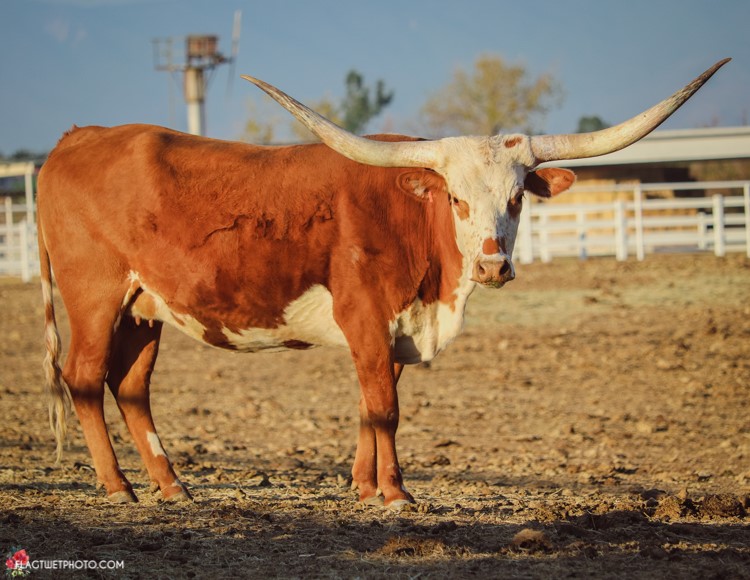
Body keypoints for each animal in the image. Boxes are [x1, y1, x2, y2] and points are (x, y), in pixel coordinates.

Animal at [37, 59, 728, 507]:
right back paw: (119, 487)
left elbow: (374, 405)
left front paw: (365, 484)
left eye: (516, 199)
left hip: (143, 307)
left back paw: (171, 484)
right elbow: (384, 409)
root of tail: (76, 137)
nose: (493, 266)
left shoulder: (398, 326)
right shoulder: (365, 316)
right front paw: (394, 494)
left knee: (130, 387)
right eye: (454, 197)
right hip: (94, 296)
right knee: (84, 379)